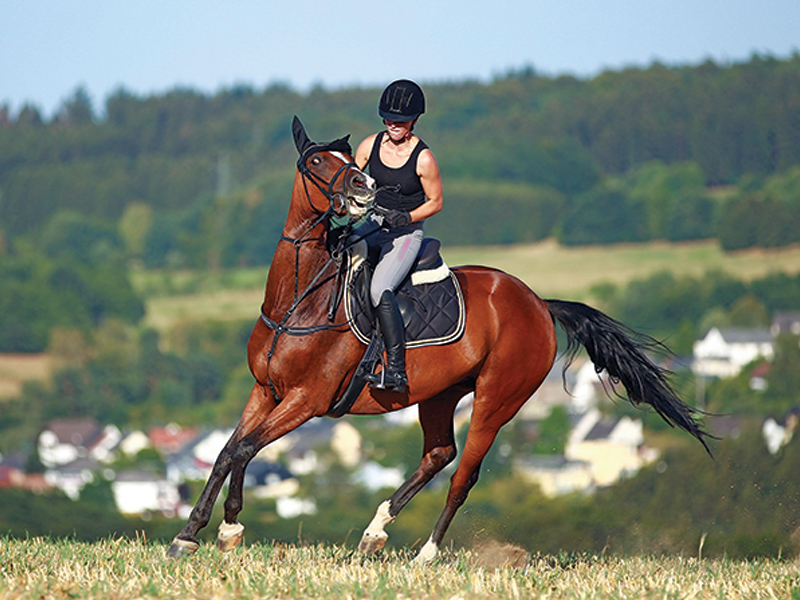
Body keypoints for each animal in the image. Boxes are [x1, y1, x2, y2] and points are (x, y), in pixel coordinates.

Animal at [166, 117, 710, 564]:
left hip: (496, 399)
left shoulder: (306, 400)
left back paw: (425, 554)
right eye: (318, 161)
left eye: (350, 161)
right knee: (438, 453)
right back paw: (375, 532)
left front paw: (216, 531)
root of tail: (538, 303)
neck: (299, 301)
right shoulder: (266, 391)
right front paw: (202, 532)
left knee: (463, 473)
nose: (364, 188)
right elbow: (232, 450)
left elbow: (245, 449)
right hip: (440, 393)